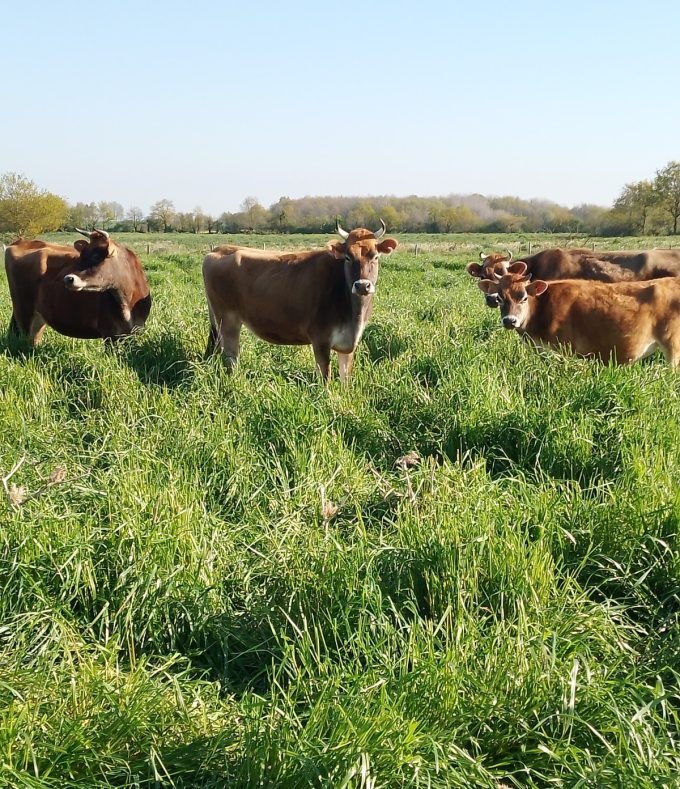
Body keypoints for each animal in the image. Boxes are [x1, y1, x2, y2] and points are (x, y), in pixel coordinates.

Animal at [5, 229, 151, 346]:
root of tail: (20, 242)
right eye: (81, 256)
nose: (68, 278)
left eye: (96, 256)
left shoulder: (135, 330)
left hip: (38, 315)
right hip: (23, 311)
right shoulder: (110, 333)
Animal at [202, 221, 398, 382]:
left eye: (375, 256)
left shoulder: (348, 344)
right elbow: (325, 379)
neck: (353, 314)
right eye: (348, 257)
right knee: (231, 357)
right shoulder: (320, 340)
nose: (362, 286)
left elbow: (345, 379)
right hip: (227, 320)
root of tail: (219, 249)